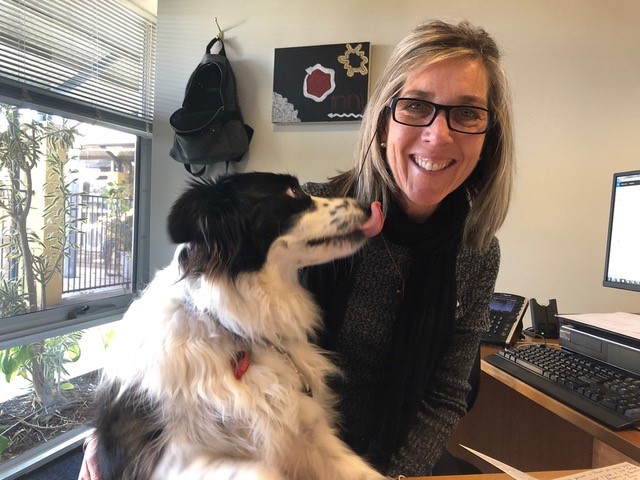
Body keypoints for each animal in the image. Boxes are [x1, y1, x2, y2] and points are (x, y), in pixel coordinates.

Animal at [91, 172, 384, 480]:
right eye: (292, 191)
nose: (369, 205)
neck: (232, 326)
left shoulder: (307, 433)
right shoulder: (170, 460)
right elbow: (261, 471)